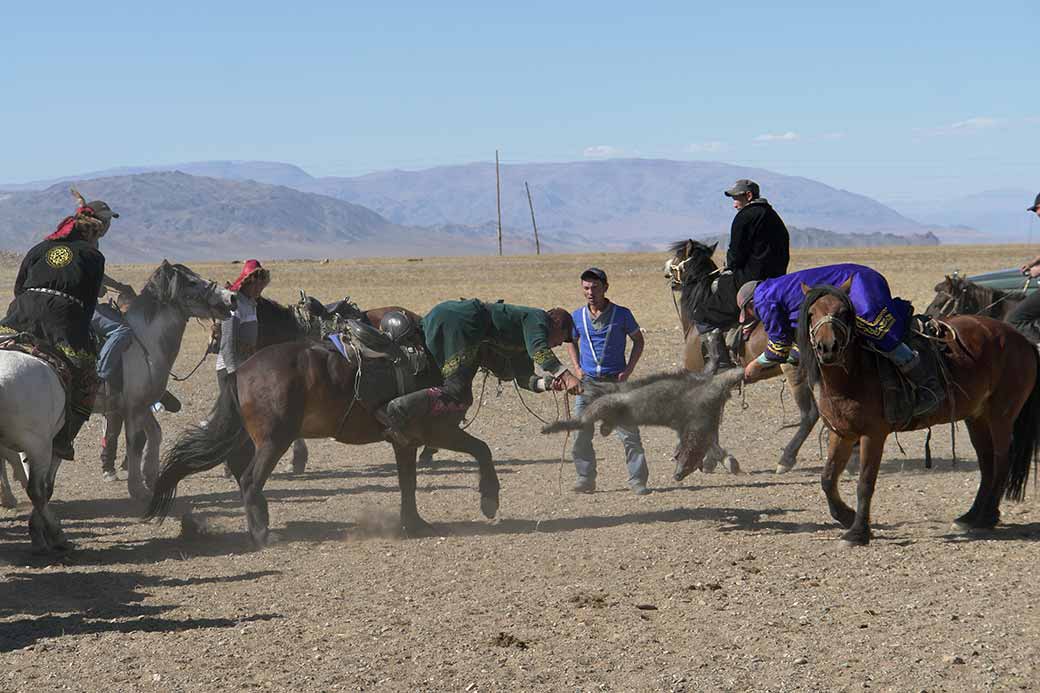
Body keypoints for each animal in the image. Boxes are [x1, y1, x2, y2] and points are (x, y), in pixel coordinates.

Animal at [148, 308, 501, 545]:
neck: (429, 355)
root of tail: (241, 372)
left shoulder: (405, 441)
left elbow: (408, 483)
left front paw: (414, 524)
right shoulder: (435, 430)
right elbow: (482, 449)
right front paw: (489, 500)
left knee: (239, 469)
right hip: (275, 440)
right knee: (249, 479)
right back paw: (262, 534)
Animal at [665, 240, 819, 472]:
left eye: (677, 256)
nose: (666, 271)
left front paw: (721, 459)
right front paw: (710, 460)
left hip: (795, 370)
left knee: (809, 414)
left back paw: (786, 459)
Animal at [798, 283, 1035, 541]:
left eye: (842, 312)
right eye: (811, 313)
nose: (827, 347)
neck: (855, 373)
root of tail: (1023, 341)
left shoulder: (873, 435)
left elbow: (865, 483)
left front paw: (858, 532)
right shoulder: (842, 433)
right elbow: (828, 478)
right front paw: (846, 516)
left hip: (1001, 415)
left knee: (1002, 460)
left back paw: (987, 516)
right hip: (977, 417)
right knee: (987, 462)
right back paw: (971, 516)